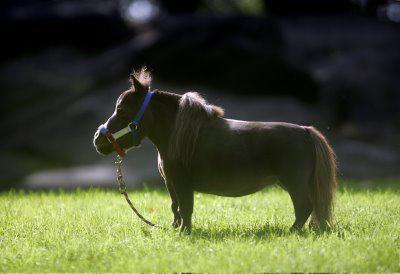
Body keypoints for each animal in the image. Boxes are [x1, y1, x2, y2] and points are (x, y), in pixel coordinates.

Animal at [94, 68, 338, 233]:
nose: (98, 140)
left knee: (304, 207)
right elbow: (175, 207)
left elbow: (186, 208)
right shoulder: (171, 183)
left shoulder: (182, 183)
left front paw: (184, 233)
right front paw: (176, 229)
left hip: (294, 184)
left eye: (121, 110)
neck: (177, 134)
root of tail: (306, 131)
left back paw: (290, 232)